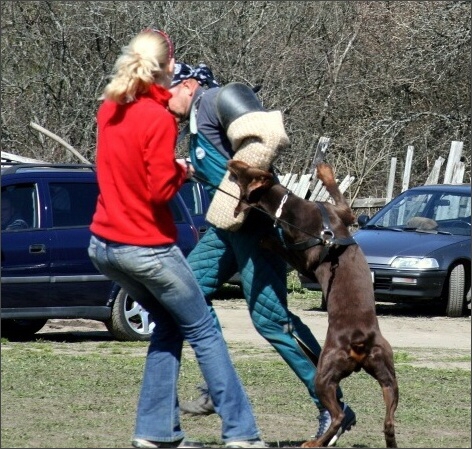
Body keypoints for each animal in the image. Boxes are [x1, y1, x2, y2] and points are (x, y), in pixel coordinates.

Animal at [227, 159, 396, 446]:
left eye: (244, 171)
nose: (231, 161)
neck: (291, 206)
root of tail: (359, 340)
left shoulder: (306, 261)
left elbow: (281, 245)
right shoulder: (343, 214)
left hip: (325, 372)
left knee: (339, 415)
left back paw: (315, 442)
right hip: (386, 371)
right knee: (389, 419)